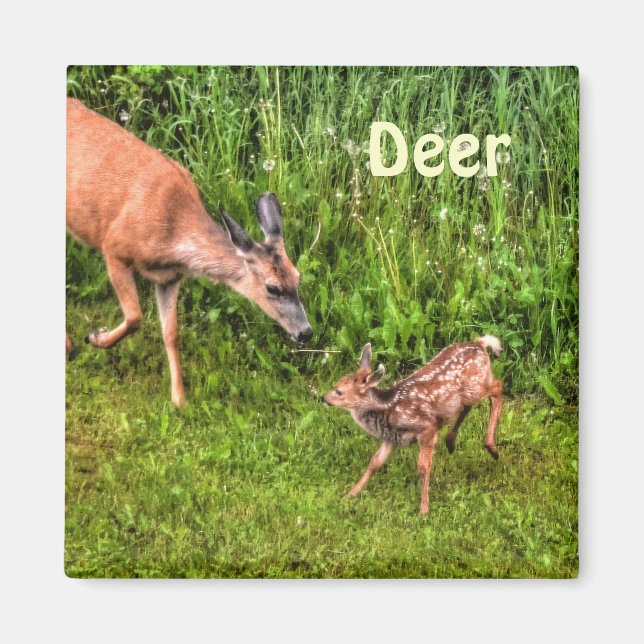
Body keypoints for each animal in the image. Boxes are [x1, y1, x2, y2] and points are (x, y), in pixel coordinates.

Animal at [66, 98, 312, 407]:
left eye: (298, 277)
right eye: (272, 288)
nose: (306, 332)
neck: (172, 234)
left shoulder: (170, 278)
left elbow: (171, 334)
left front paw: (179, 401)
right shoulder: (115, 246)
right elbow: (135, 316)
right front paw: (95, 338)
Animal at [322, 336, 503, 514]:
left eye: (339, 391)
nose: (323, 398)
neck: (388, 410)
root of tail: (479, 343)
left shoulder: (426, 429)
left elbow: (423, 467)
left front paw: (424, 509)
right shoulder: (392, 438)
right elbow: (374, 462)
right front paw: (350, 494)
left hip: (474, 386)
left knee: (497, 387)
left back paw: (492, 448)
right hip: (466, 394)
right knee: (468, 406)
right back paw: (451, 441)